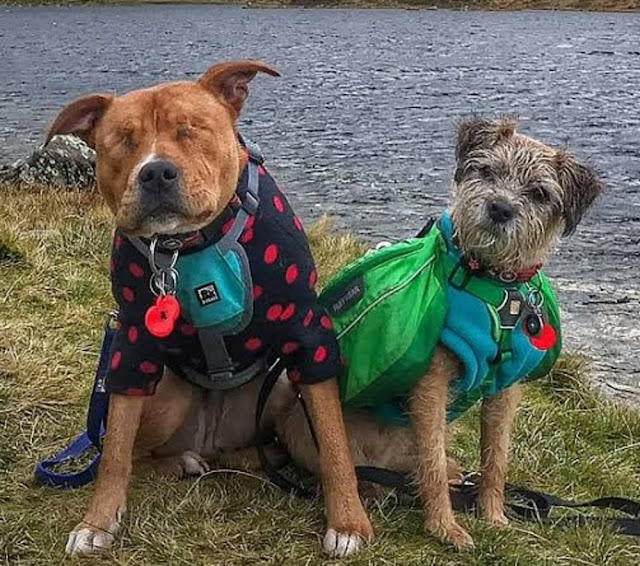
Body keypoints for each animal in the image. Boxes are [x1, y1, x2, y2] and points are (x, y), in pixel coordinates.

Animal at [46, 61, 370, 560]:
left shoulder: (308, 338)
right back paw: (181, 461)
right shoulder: (132, 349)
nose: (156, 172)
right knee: (140, 454)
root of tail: (212, 438)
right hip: (166, 394)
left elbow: (334, 444)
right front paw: (97, 522)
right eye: (122, 139)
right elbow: (115, 450)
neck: (187, 246)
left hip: (280, 386)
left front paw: (349, 522)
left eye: (192, 128)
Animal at [276, 116, 604, 556]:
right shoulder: (431, 385)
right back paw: (373, 493)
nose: (500, 208)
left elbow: (495, 459)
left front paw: (494, 516)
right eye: (487, 171)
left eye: (539, 193)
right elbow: (430, 462)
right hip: (302, 425)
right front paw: (444, 527)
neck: (493, 284)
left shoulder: (505, 392)